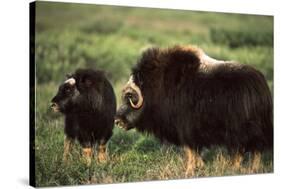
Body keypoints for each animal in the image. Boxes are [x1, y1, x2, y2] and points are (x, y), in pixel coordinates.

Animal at [114, 45, 272, 176]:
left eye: (130, 96)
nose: (117, 120)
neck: (158, 87)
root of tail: (261, 86)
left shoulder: (186, 129)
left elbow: (190, 151)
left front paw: (189, 171)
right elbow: (195, 152)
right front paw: (200, 166)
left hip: (241, 130)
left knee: (249, 149)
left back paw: (240, 169)